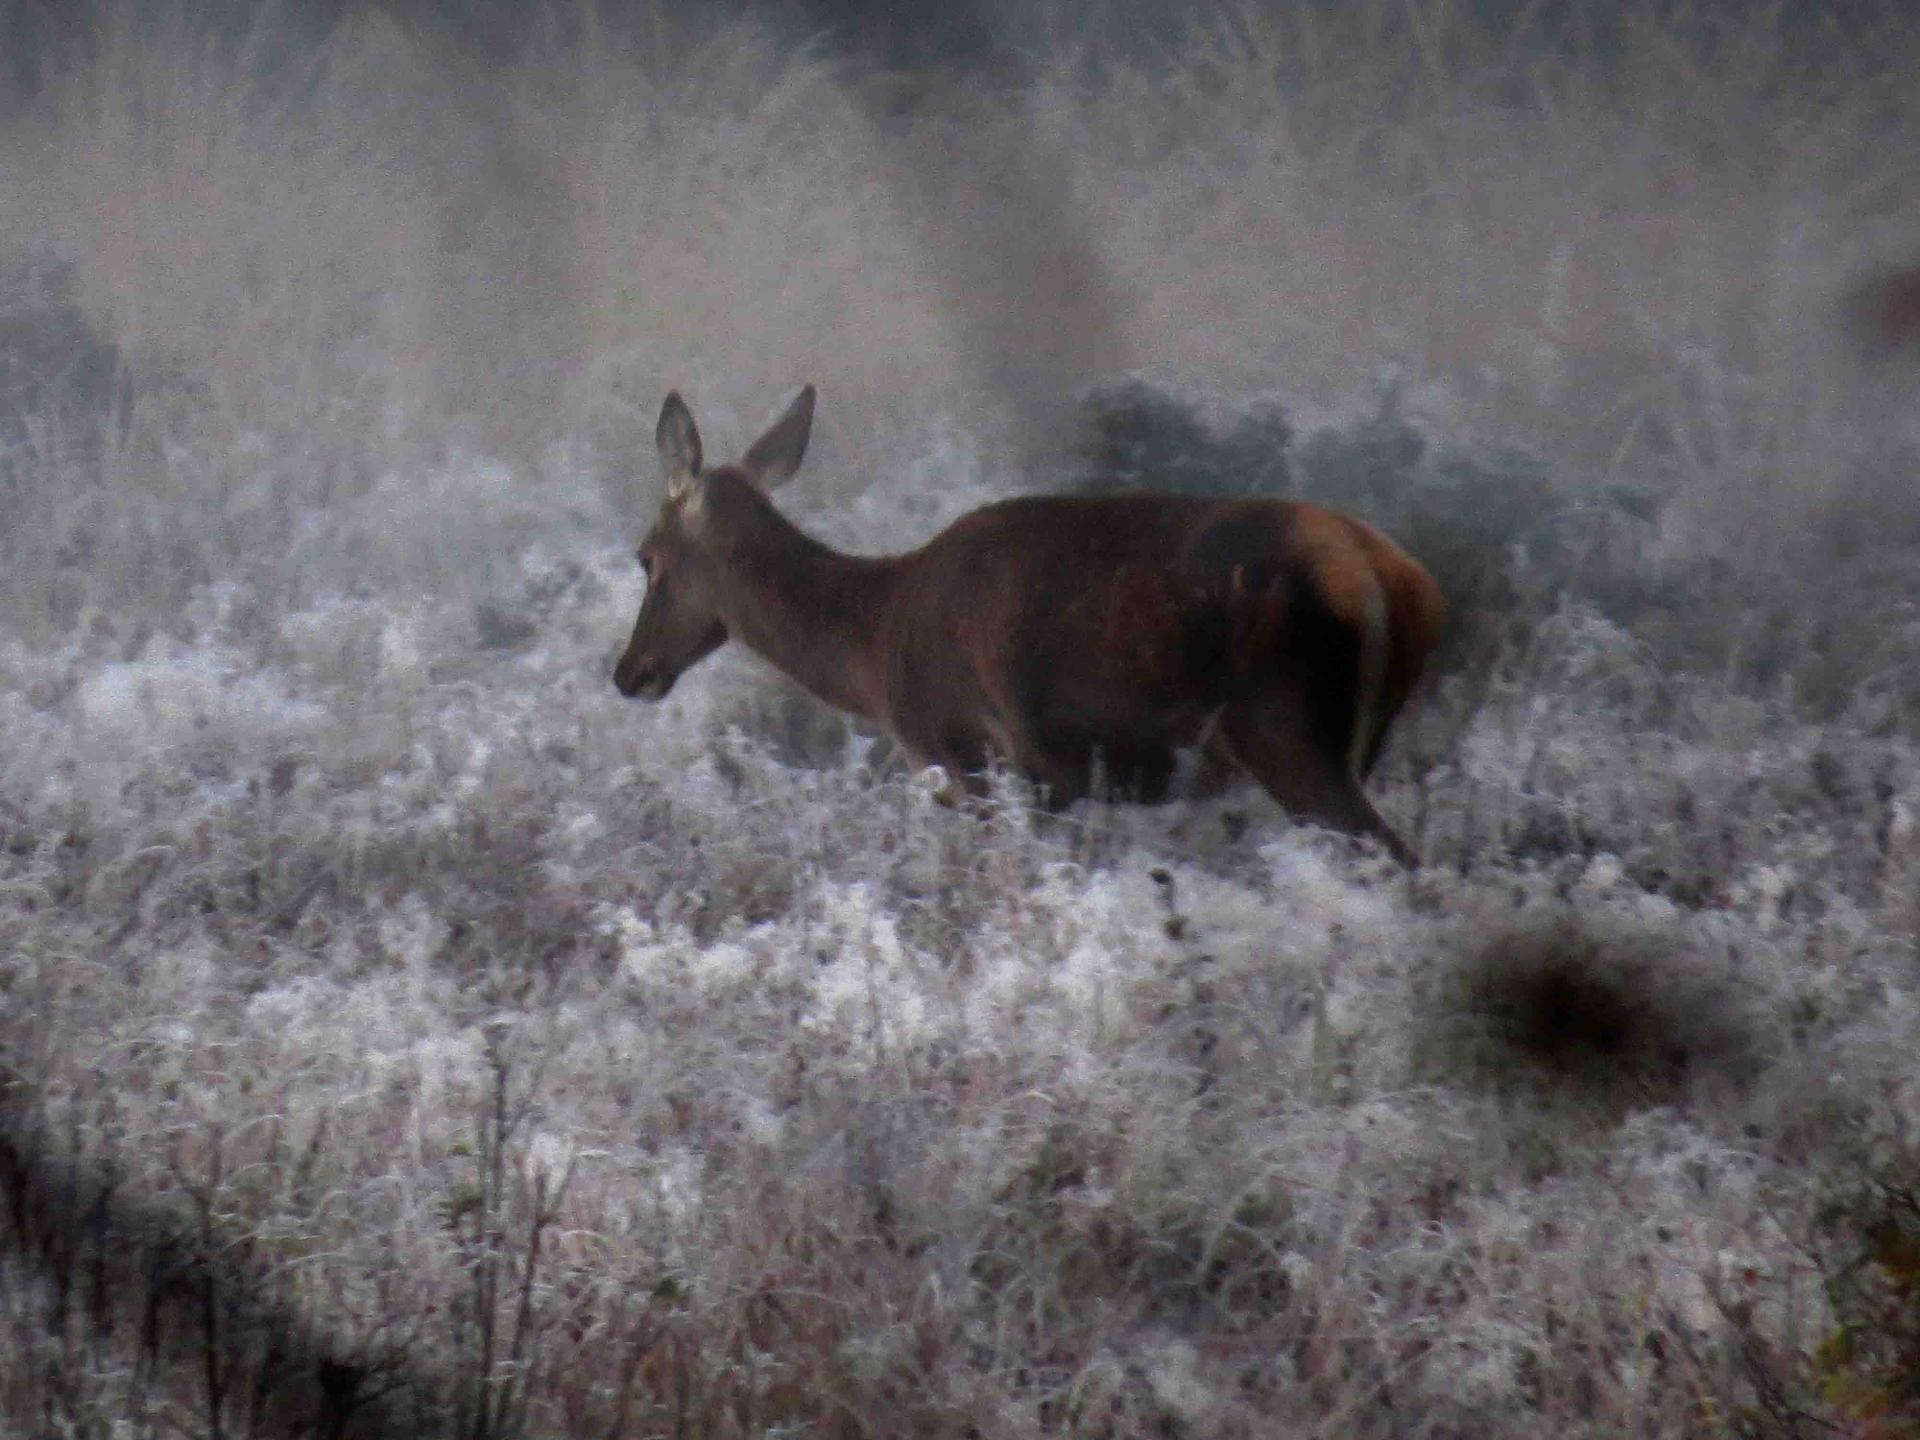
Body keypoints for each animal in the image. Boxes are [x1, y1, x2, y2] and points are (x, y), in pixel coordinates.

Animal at [610, 384, 1443, 864]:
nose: (629, 671)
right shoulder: (1054, 788)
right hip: (1353, 742)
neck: (877, 647)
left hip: (1289, 734)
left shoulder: (972, 758)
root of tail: (1396, 582)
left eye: (646, 557)